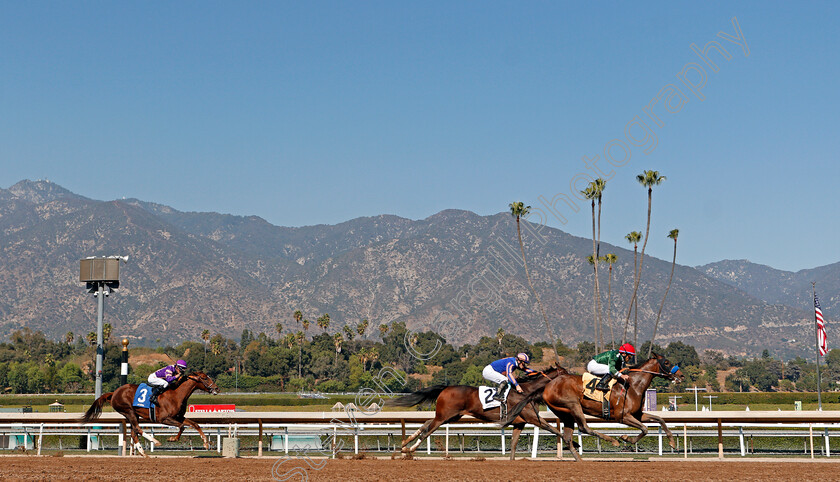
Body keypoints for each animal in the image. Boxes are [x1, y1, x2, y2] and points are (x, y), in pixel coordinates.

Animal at [81, 372, 220, 456]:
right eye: (205, 377)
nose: (217, 388)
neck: (176, 394)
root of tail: (114, 392)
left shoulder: (179, 417)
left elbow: (194, 424)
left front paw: (206, 443)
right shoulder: (164, 418)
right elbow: (182, 426)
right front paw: (172, 438)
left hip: (133, 414)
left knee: (134, 432)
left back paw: (143, 453)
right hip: (128, 411)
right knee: (137, 429)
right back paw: (155, 441)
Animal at [392, 368, 576, 462]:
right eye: (565, 372)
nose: (575, 378)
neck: (526, 392)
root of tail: (446, 388)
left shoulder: (520, 422)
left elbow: (514, 443)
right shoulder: (531, 418)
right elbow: (551, 428)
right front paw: (573, 445)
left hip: (451, 416)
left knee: (427, 423)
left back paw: (405, 443)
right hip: (445, 415)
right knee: (429, 430)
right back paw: (410, 449)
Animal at [498, 352, 684, 462]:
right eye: (667, 362)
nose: (681, 376)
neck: (633, 385)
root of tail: (547, 386)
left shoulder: (637, 414)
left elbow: (659, 420)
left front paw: (672, 442)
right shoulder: (623, 416)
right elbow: (645, 429)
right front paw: (625, 438)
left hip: (565, 413)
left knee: (568, 435)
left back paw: (579, 460)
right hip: (573, 405)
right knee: (584, 427)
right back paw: (612, 441)